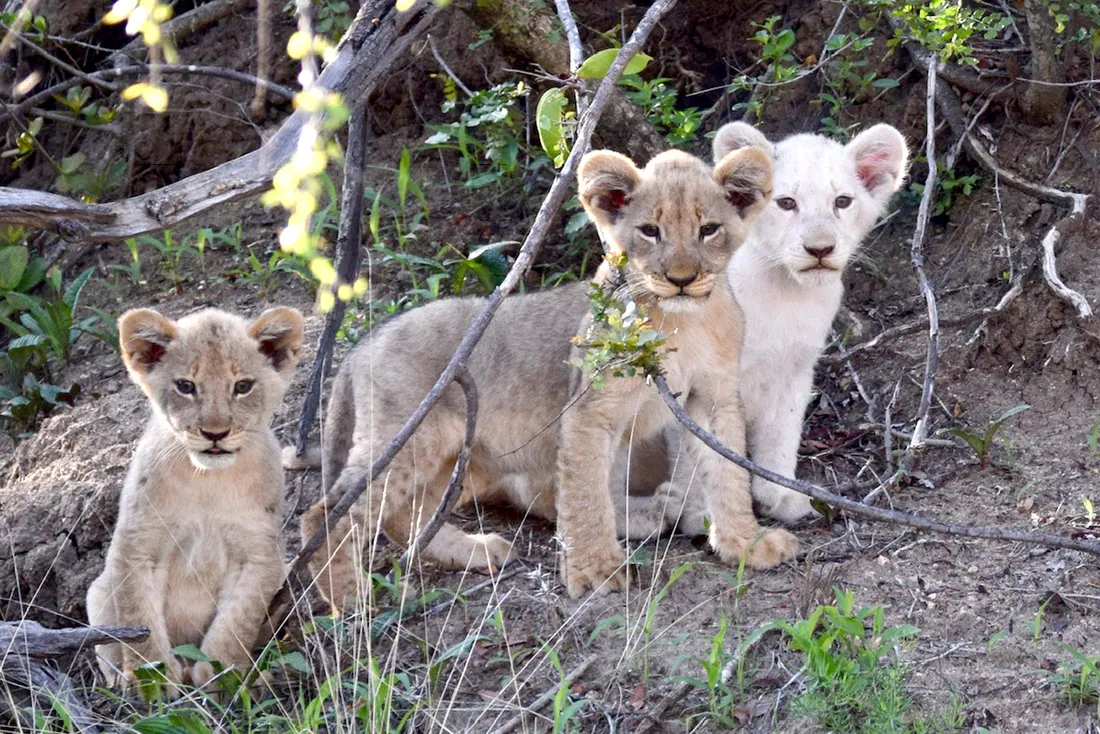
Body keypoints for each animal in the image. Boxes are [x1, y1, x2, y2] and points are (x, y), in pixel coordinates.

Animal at [86, 306, 304, 692]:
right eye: (185, 386)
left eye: (242, 386)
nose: (214, 434)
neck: (207, 482)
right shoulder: (136, 545)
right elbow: (140, 619)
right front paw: (154, 678)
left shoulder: (261, 554)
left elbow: (237, 621)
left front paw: (219, 672)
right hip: (97, 594)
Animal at [298, 145, 797, 608]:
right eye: (650, 231)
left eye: (708, 229)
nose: (680, 278)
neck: (682, 322)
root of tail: (364, 346)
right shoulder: (589, 408)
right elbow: (585, 493)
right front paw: (596, 572)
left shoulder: (712, 400)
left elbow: (729, 473)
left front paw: (746, 545)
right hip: (408, 440)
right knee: (326, 513)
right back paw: (352, 602)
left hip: (461, 458)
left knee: (407, 516)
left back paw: (476, 551)